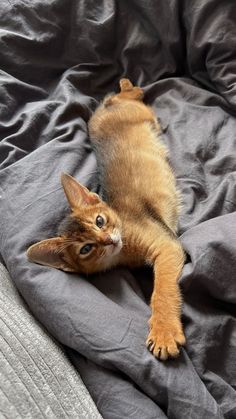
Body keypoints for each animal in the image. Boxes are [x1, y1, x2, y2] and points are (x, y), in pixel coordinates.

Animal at [27, 79, 186, 360]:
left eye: (100, 221)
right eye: (86, 249)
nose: (109, 241)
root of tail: (102, 110)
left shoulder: (167, 245)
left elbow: (161, 292)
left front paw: (164, 333)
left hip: (138, 111)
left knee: (131, 95)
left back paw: (128, 85)